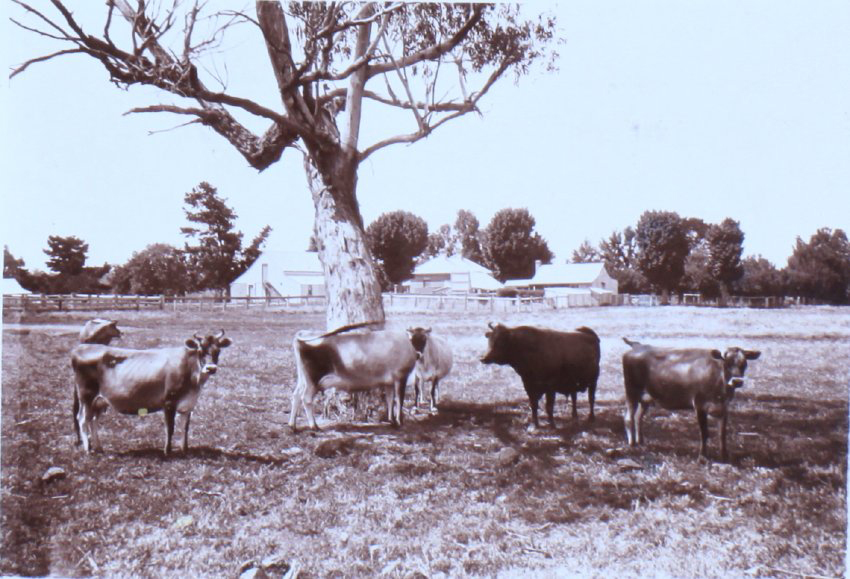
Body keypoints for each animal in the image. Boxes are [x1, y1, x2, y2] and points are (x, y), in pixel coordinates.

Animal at [71, 330, 231, 455]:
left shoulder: (188, 405)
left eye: (217, 351)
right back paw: (88, 450)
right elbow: (170, 428)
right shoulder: (169, 402)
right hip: (86, 395)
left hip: (99, 401)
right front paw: (168, 452)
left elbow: (184, 428)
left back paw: (99, 448)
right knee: (82, 419)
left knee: (93, 420)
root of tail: (82, 347)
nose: (211, 368)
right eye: (200, 351)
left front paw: (184, 450)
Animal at [289, 323, 417, 432]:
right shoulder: (401, 376)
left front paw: (392, 421)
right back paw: (314, 426)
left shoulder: (389, 381)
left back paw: (292, 426)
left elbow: (390, 399)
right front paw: (399, 422)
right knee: (306, 398)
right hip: (313, 379)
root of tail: (304, 333)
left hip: (303, 378)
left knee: (296, 395)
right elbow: (399, 400)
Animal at [622, 337, 761, 461]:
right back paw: (632, 444)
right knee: (629, 417)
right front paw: (702, 457)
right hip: (631, 391)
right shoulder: (699, 405)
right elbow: (704, 432)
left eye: (744, 363)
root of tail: (637, 346)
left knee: (638, 417)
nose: (737, 381)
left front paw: (724, 457)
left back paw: (640, 441)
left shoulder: (724, 408)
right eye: (726, 364)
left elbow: (722, 434)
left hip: (646, 397)